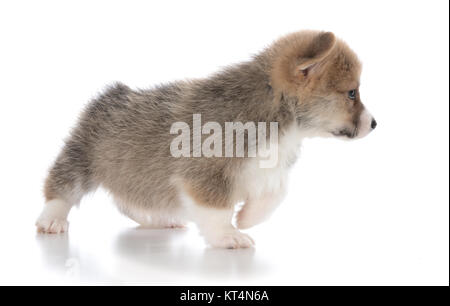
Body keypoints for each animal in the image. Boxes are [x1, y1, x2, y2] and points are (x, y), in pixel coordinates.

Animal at [37, 29, 376, 247]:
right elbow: (217, 210)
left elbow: (275, 195)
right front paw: (229, 235)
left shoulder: (271, 169)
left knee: (129, 200)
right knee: (61, 188)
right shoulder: (204, 174)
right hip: (81, 157)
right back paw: (52, 220)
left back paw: (157, 219)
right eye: (351, 93)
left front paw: (247, 218)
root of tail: (110, 96)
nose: (374, 124)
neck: (277, 112)